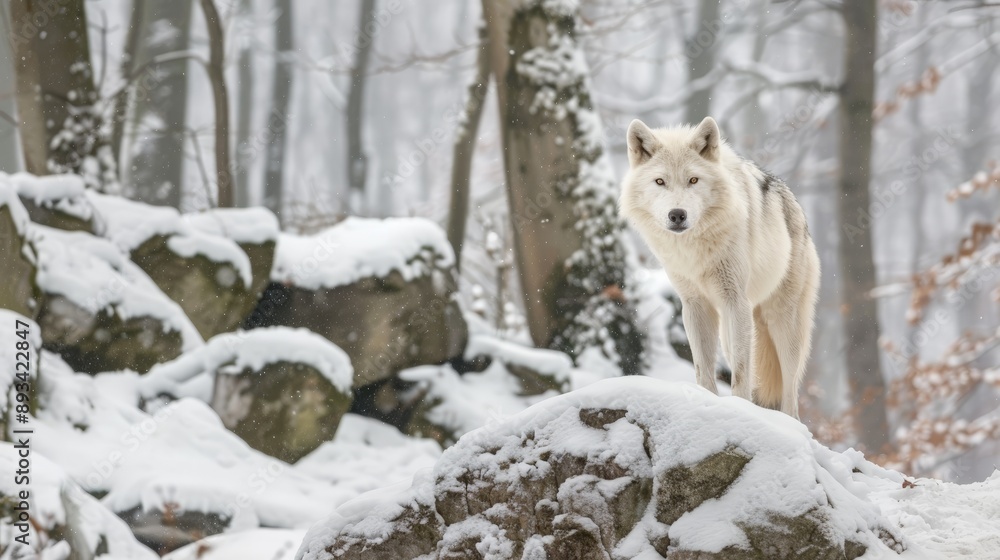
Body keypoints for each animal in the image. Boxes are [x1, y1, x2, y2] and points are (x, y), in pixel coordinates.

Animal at [619, 117, 820, 418]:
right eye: (660, 181)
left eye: (693, 180)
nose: (677, 215)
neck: (694, 248)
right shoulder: (694, 305)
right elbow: (703, 369)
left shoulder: (735, 300)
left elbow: (741, 373)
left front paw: (740, 409)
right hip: (733, 328)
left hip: (783, 322)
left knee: (790, 393)